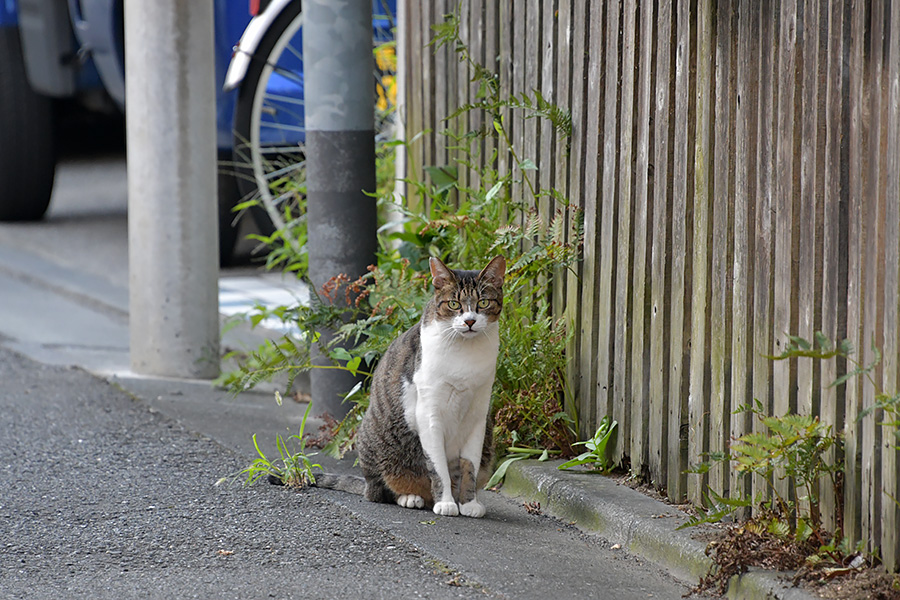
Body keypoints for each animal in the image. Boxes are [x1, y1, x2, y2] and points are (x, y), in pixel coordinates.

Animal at [312, 255, 502, 516]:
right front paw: (445, 502)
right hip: (375, 438)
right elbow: (438, 467)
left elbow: (469, 466)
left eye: (483, 302)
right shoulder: (429, 413)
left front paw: (469, 503)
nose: (470, 321)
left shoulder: (478, 416)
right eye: (454, 304)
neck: (466, 353)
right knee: (382, 491)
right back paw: (411, 497)